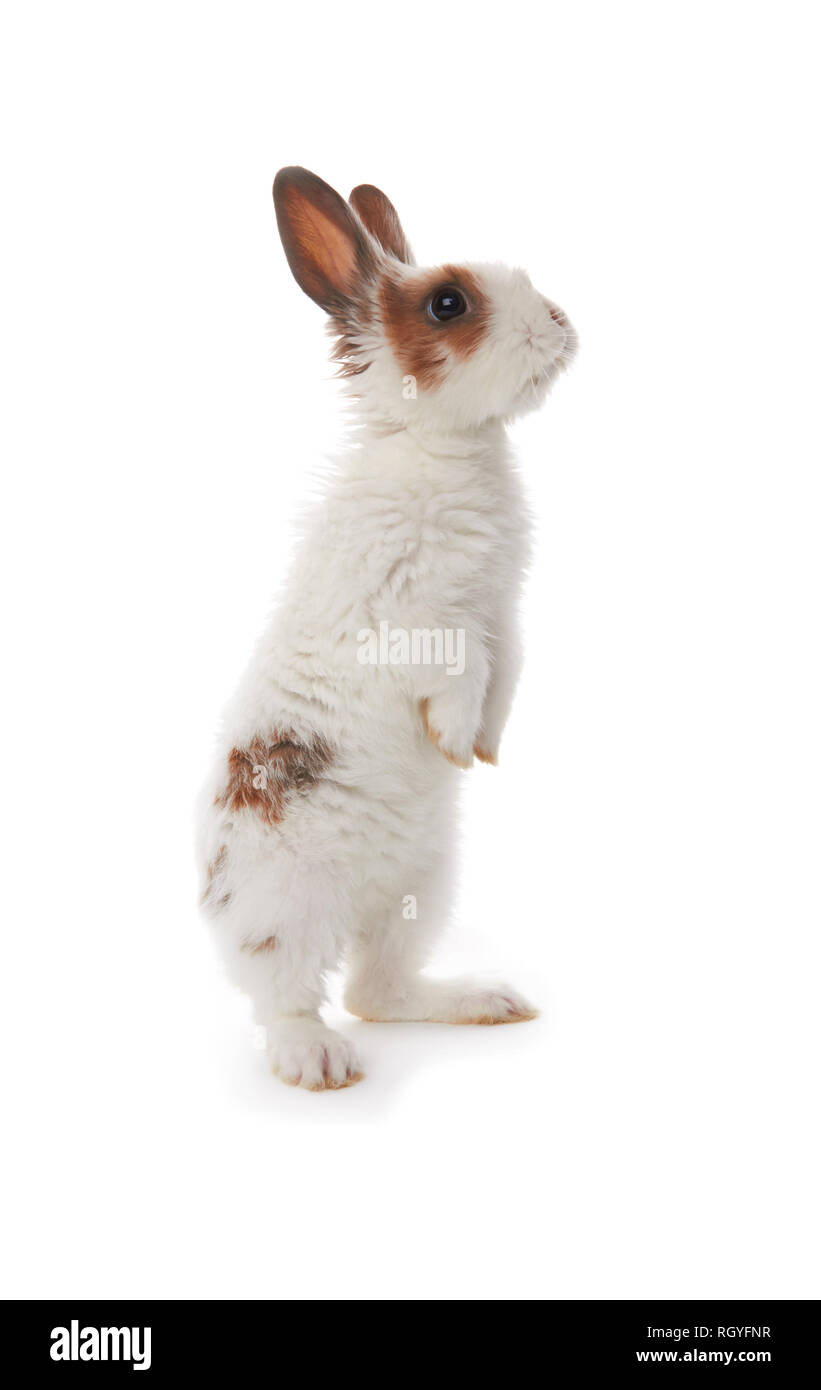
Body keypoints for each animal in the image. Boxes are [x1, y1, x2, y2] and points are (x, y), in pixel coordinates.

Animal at [196, 166, 577, 1090]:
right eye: (447, 303)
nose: (559, 322)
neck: (441, 446)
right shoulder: (419, 624)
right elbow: (460, 675)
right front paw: (453, 742)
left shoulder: (502, 612)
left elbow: (508, 672)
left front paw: (482, 752)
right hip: (286, 908)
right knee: (292, 997)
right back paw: (318, 1062)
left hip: (425, 890)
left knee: (378, 988)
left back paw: (486, 1001)